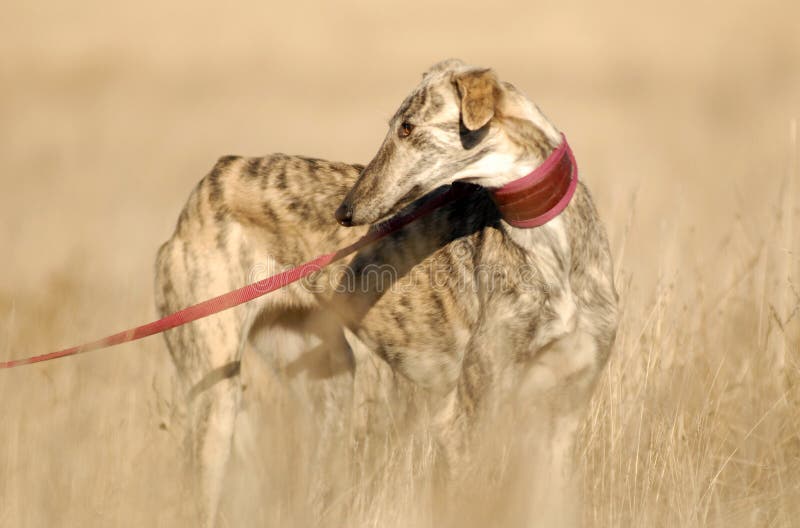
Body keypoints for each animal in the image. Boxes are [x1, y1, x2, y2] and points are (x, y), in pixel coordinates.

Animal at [156, 59, 620, 524]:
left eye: (408, 127)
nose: (344, 212)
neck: (550, 243)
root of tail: (214, 178)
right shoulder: (464, 423)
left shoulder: (563, 418)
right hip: (214, 401)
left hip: (327, 380)